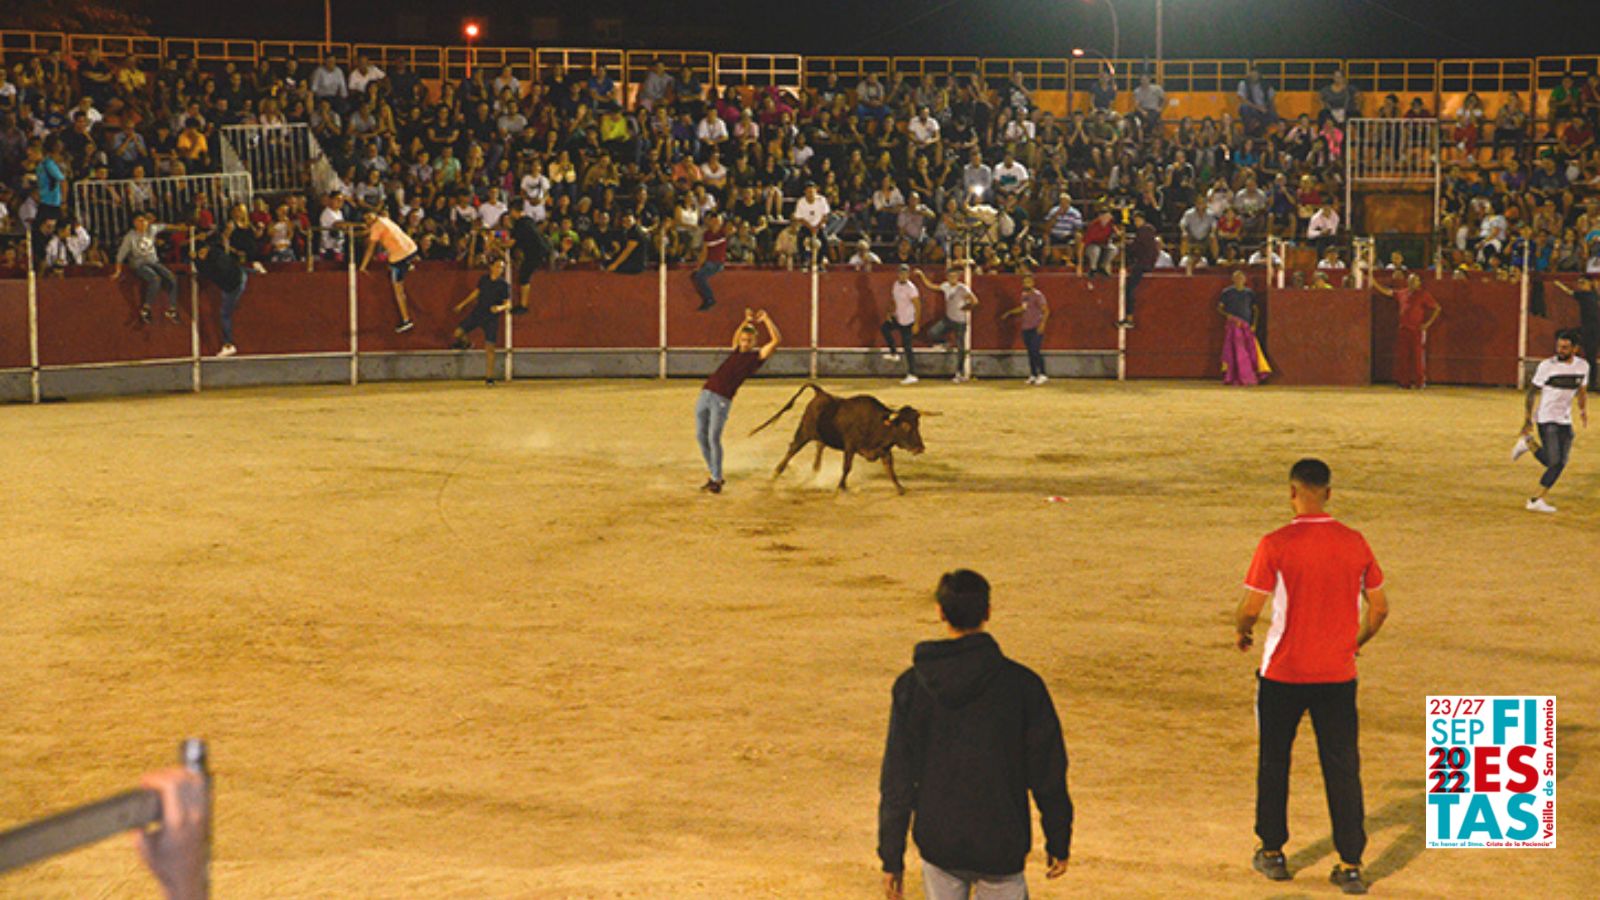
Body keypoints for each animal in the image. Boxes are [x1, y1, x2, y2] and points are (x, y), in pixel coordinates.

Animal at [752, 377, 934, 490]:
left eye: (917, 424)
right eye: (905, 425)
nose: (920, 448)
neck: (878, 423)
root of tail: (821, 393)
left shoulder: (884, 450)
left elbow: (890, 469)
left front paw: (900, 488)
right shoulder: (850, 447)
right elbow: (847, 467)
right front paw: (841, 487)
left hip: (820, 434)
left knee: (819, 446)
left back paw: (815, 472)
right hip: (804, 431)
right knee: (792, 449)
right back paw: (776, 473)